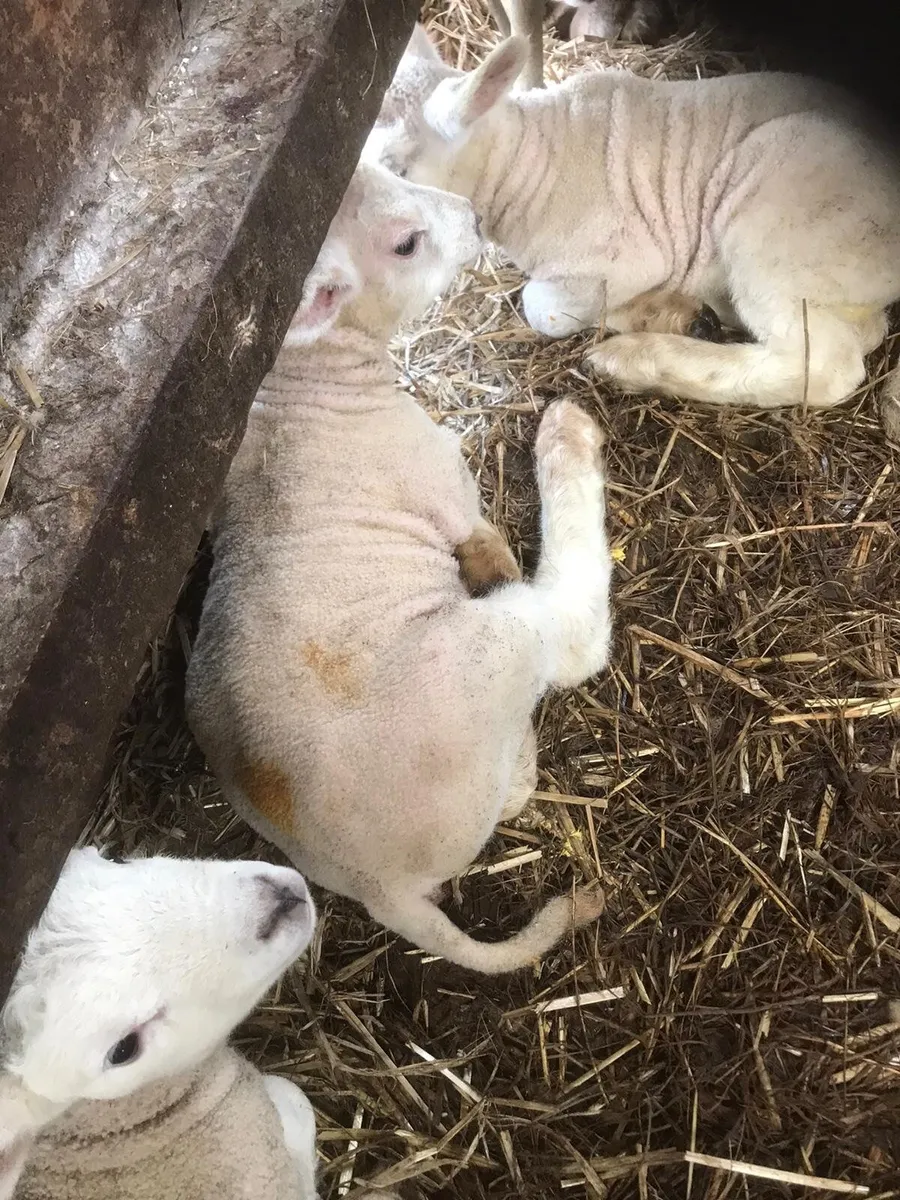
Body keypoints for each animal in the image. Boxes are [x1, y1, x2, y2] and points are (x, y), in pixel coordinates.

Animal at [184, 156, 612, 977]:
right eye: (407, 243)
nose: (474, 217)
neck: (303, 388)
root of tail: (378, 885)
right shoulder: (444, 487)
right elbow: (489, 549)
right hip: (494, 648)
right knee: (573, 639)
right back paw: (567, 438)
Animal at [369, 30, 900, 412]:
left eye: (398, 168)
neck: (529, 163)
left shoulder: (622, 255)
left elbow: (544, 308)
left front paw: (644, 312)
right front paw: (665, 310)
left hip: (779, 223)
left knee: (825, 364)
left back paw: (634, 360)